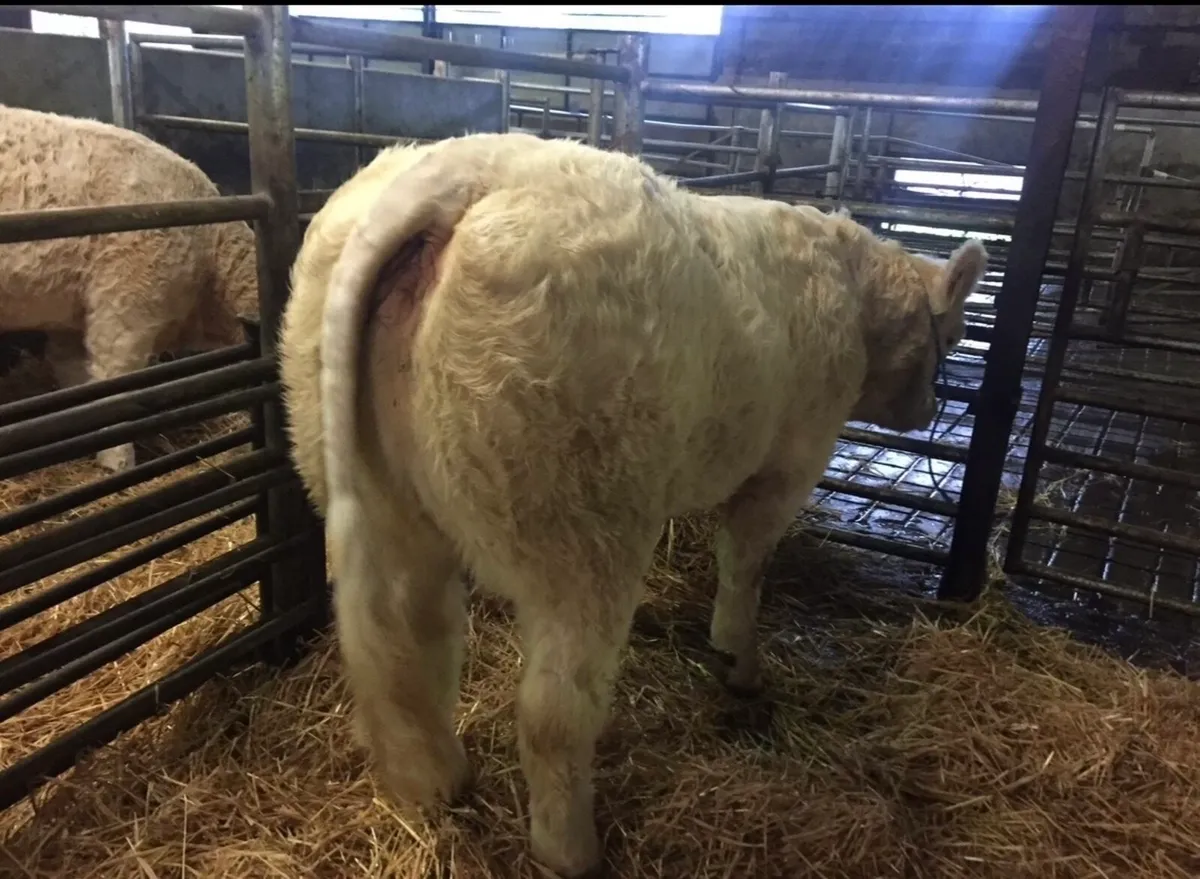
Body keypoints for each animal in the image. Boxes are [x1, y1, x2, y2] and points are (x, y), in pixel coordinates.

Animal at [278, 131, 987, 877]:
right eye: (954, 334)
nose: (930, 407)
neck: (851, 289)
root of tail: (460, 172)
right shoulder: (790, 461)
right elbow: (746, 562)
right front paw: (738, 660)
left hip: (377, 488)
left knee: (405, 647)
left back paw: (437, 782)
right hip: (580, 519)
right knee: (553, 710)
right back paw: (571, 849)